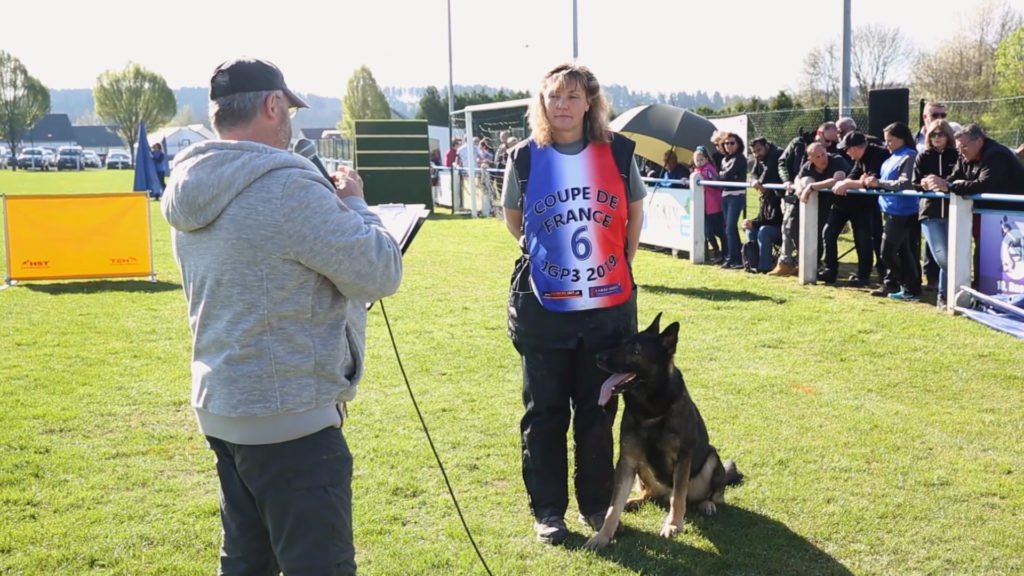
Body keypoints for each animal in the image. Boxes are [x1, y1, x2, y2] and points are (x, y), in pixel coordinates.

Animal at [581, 311, 741, 549]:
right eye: (622, 343)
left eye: (635, 351)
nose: (598, 357)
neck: (650, 409)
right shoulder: (627, 460)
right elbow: (612, 506)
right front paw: (602, 536)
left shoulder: (683, 457)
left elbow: (679, 496)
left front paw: (673, 525)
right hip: (642, 469)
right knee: (649, 495)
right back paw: (634, 501)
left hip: (712, 459)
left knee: (712, 495)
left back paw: (706, 504)